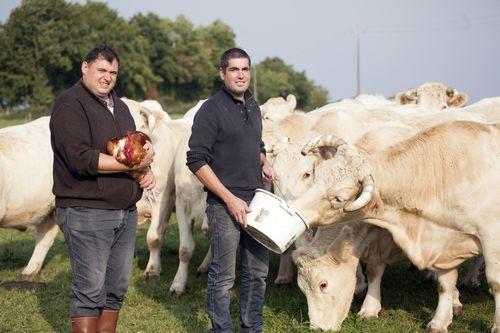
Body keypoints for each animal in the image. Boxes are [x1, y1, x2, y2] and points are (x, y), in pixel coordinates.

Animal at [292, 120, 500, 332]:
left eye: (323, 284)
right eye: (302, 287)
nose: (317, 327)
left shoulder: (491, 237)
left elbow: (495, 283)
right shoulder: (443, 243)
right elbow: (443, 283)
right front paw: (439, 321)